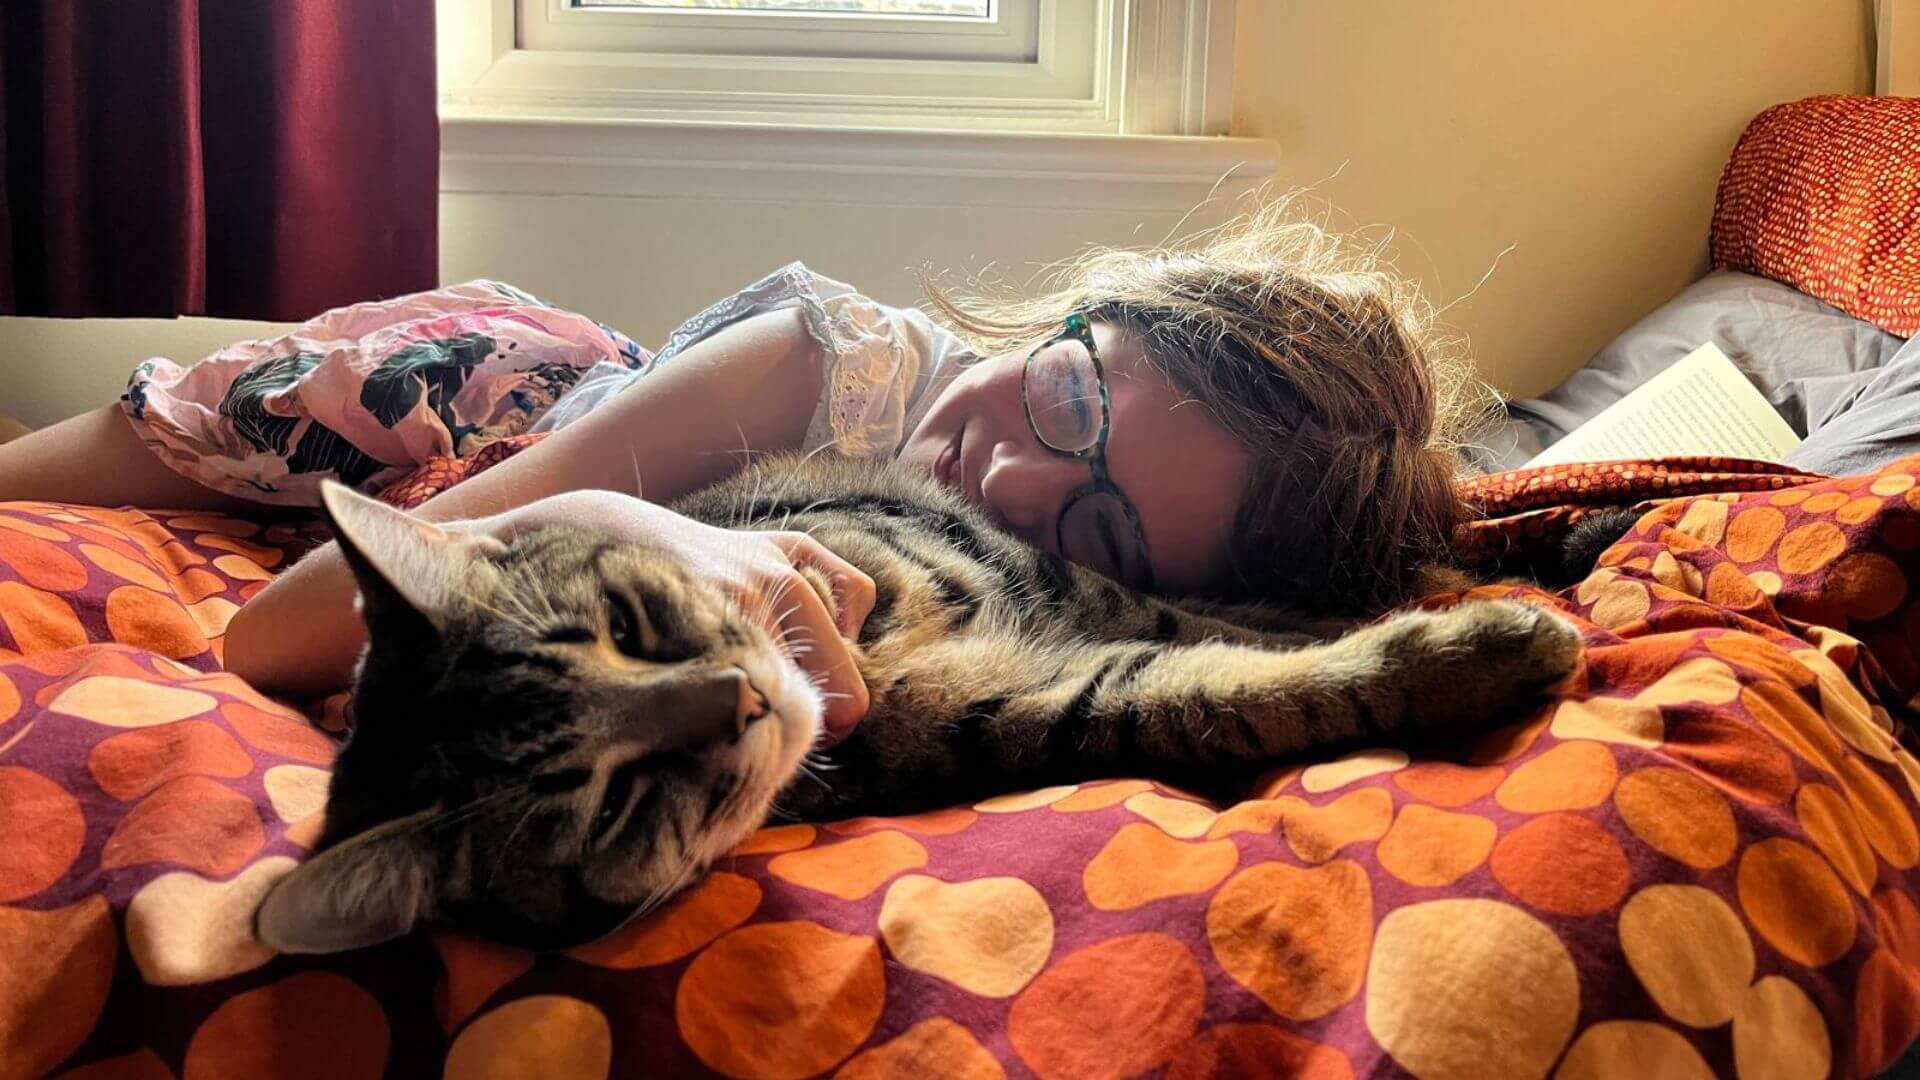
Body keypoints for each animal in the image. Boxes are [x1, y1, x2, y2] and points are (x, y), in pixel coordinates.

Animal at [251, 451, 1574, 949]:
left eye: (632, 628)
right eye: (616, 806)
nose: (742, 699)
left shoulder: (1051, 579)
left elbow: (1222, 631)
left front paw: (1465, 604)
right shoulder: (1045, 706)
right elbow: (1231, 691)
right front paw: (1476, 652)